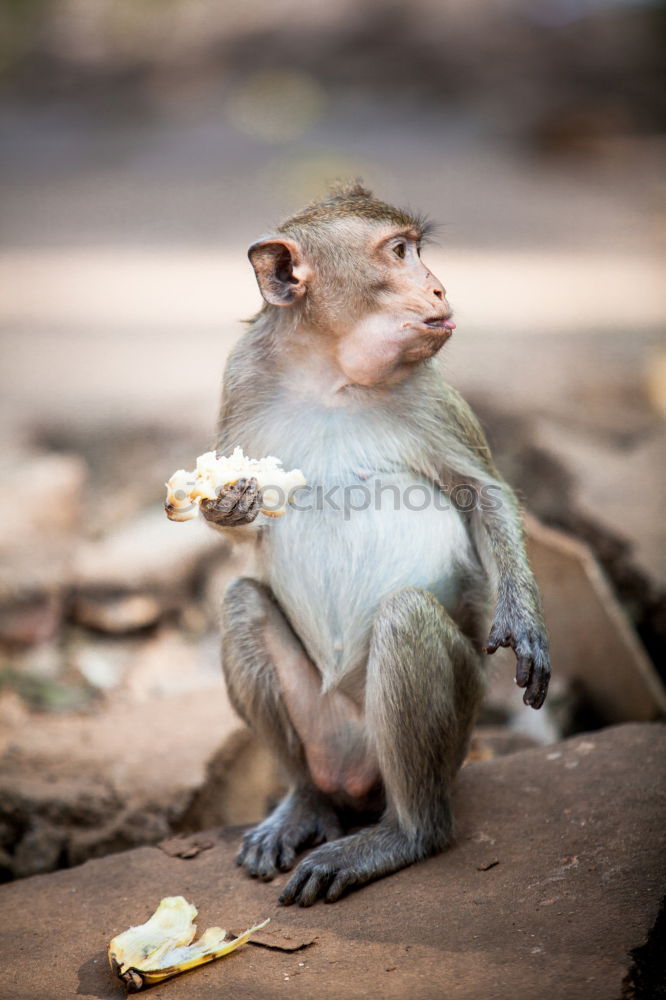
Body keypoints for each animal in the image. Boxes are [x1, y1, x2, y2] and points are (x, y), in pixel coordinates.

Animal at [198, 180, 548, 908]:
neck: (330, 371)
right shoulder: (240, 375)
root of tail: (357, 775)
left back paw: (404, 835)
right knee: (241, 603)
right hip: (324, 727)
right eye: (397, 253)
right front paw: (225, 503)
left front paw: (522, 618)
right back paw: (304, 802)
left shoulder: (432, 393)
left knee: (407, 617)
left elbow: (484, 493)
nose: (438, 287)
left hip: (457, 719)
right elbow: (244, 539)